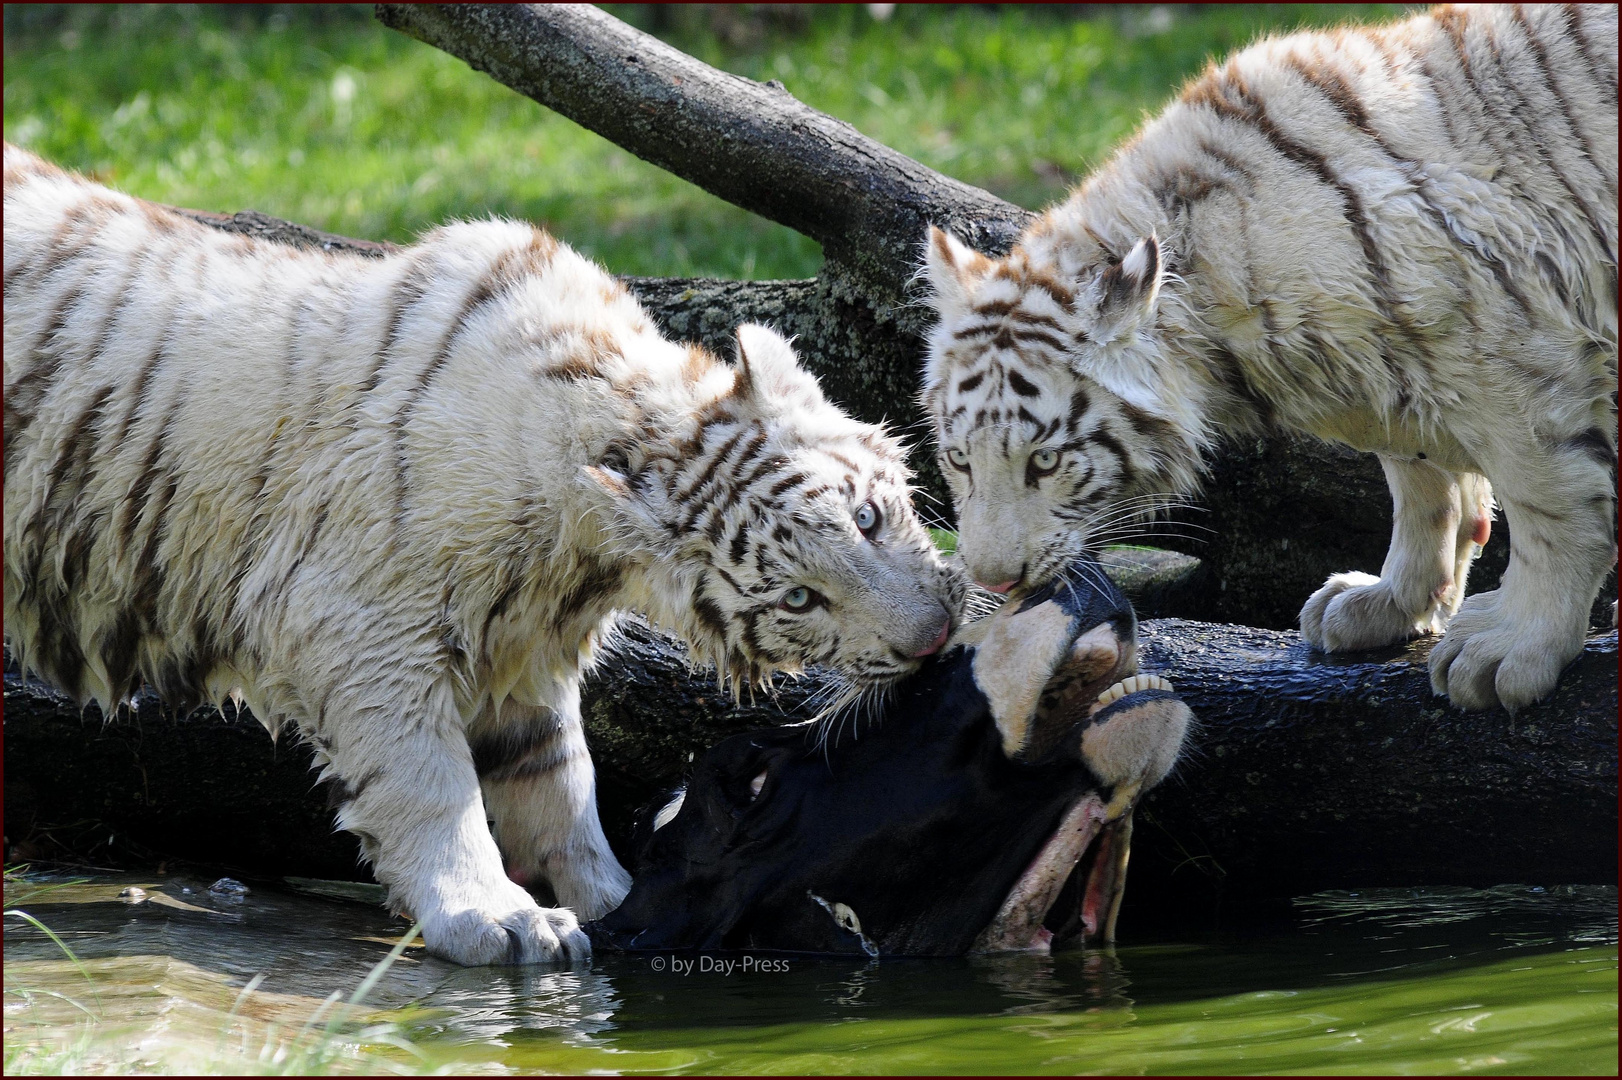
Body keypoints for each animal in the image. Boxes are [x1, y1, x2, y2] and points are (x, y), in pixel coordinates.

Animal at [3, 142, 960, 960]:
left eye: (869, 518)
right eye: (799, 598)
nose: (933, 641)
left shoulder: (523, 642)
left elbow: (558, 776)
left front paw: (610, 898)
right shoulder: (360, 623)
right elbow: (430, 780)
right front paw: (499, 921)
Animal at [921, 6, 1615, 713]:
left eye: (1045, 461)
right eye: (959, 459)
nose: (995, 582)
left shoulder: (1510, 351)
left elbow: (1550, 507)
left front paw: (1510, 648)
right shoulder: (1400, 361)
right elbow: (1423, 487)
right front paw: (1387, 603)